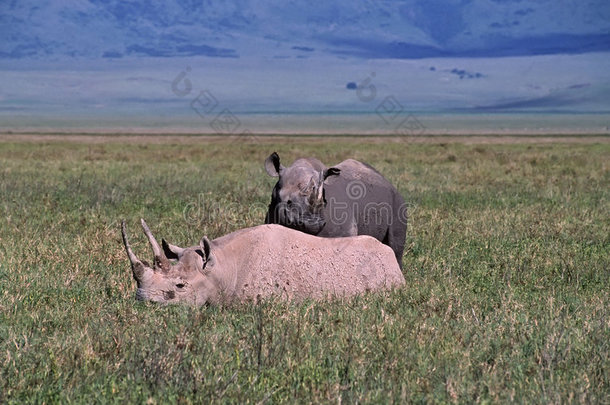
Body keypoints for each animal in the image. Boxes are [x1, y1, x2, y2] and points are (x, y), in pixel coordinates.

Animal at [264, 152, 406, 266]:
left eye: (323, 203)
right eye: (288, 202)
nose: (313, 224)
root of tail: (387, 182)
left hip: (397, 200)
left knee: (395, 244)